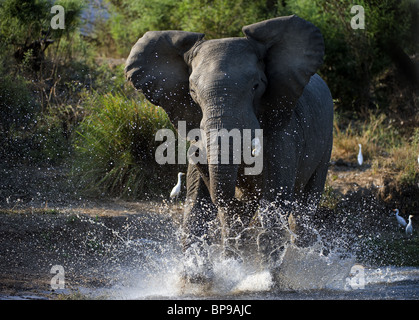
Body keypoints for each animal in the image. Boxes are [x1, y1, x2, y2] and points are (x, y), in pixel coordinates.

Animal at [124, 16, 334, 284]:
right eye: (192, 92)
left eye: (256, 86)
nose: (194, 152)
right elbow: (197, 206)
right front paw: (197, 279)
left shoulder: (284, 132)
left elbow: (274, 203)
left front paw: (267, 281)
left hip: (326, 139)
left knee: (305, 210)